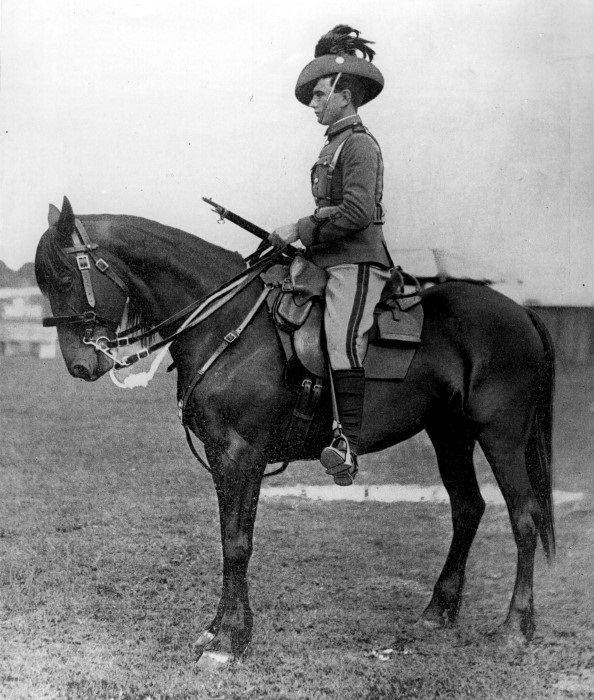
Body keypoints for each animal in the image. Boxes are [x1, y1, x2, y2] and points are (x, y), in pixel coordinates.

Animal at [35, 197, 556, 668]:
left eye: (65, 279)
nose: (80, 366)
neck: (227, 322)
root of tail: (521, 312)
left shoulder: (241, 453)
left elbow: (237, 543)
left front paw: (228, 641)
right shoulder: (228, 457)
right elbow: (230, 536)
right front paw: (220, 631)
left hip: (501, 436)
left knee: (524, 516)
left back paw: (515, 627)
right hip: (449, 433)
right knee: (468, 508)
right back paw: (438, 611)